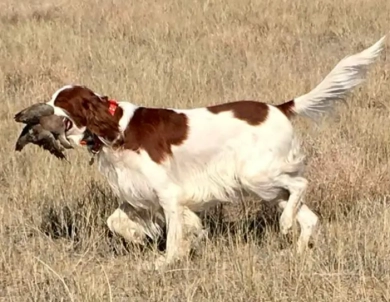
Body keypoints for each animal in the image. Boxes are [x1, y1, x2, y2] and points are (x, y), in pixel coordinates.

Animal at [35, 36, 384, 268]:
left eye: (60, 103)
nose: (39, 112)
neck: (116, 127)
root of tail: (280, 107)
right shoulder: (134, 192)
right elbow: (115, 221)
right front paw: (141, 238)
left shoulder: (167, 192)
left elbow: (174, 233)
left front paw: (165, 261)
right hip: (269, 187)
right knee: (308, 216)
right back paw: (295, 250)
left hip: (256, 175)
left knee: (301, 185)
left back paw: (285, 225)